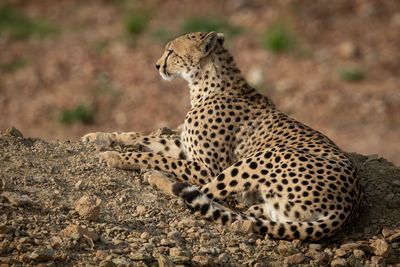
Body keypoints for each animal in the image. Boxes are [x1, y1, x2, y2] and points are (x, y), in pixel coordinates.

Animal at [83, 32, 364, 242]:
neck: (206, 84)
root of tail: (347, 205)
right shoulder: (182, 146)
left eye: (171, 52)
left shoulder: (207, 167)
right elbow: (141, 138)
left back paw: (158, 178)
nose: (157, 65)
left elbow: (155, 157)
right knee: (243, 211)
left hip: (265, 155)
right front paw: (98, 137)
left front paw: (115, 157)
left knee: (200, 196)